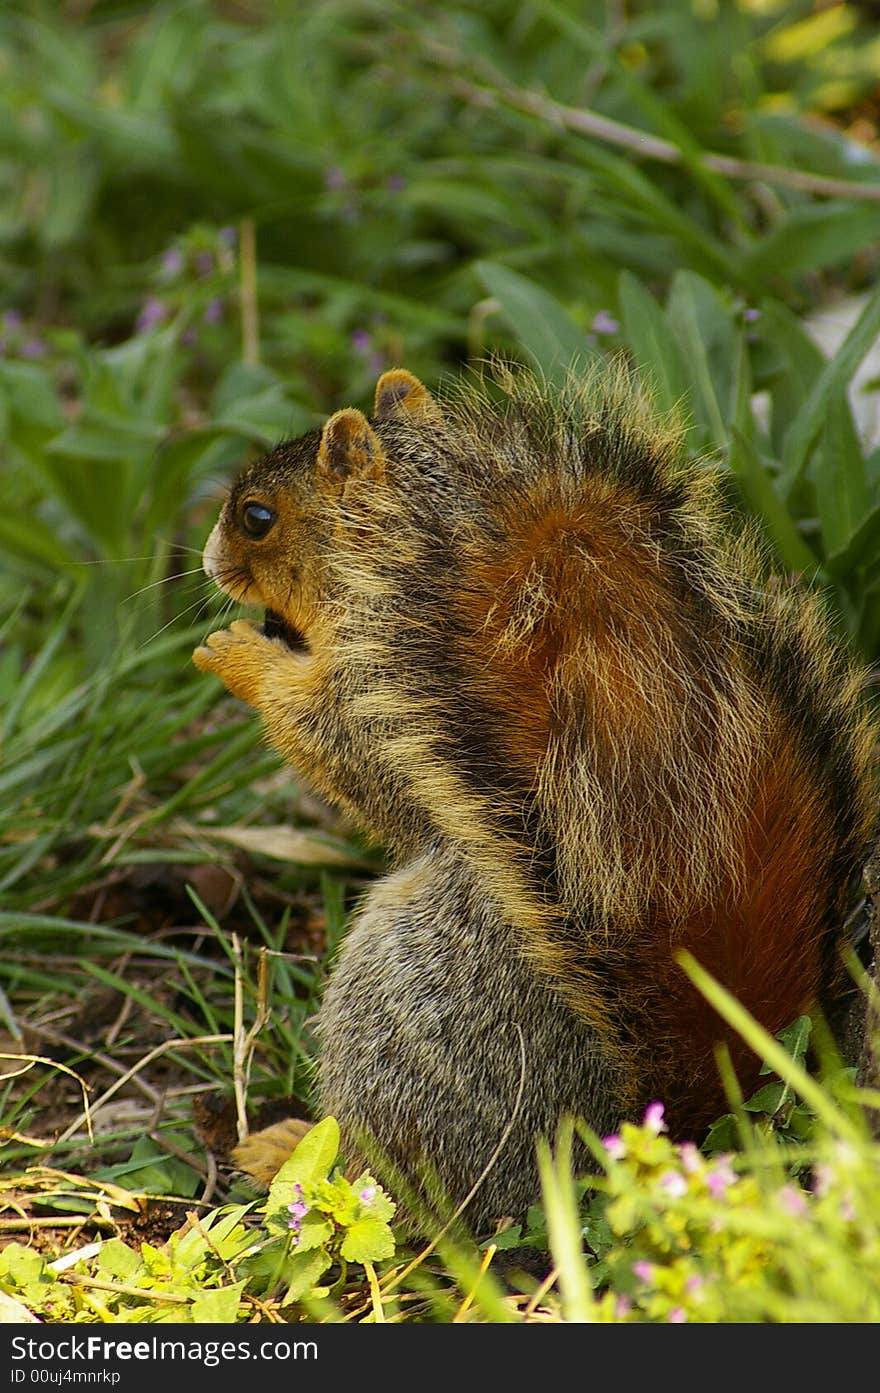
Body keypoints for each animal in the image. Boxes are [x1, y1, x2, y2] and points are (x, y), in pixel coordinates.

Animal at [196, 364, 874, 1236]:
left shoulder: (383, 698)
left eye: (257, 517)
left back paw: (299, 1161)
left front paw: (238, 657)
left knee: (408, 1198)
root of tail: (630, 1131)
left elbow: (353, 761)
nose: (209, 560)